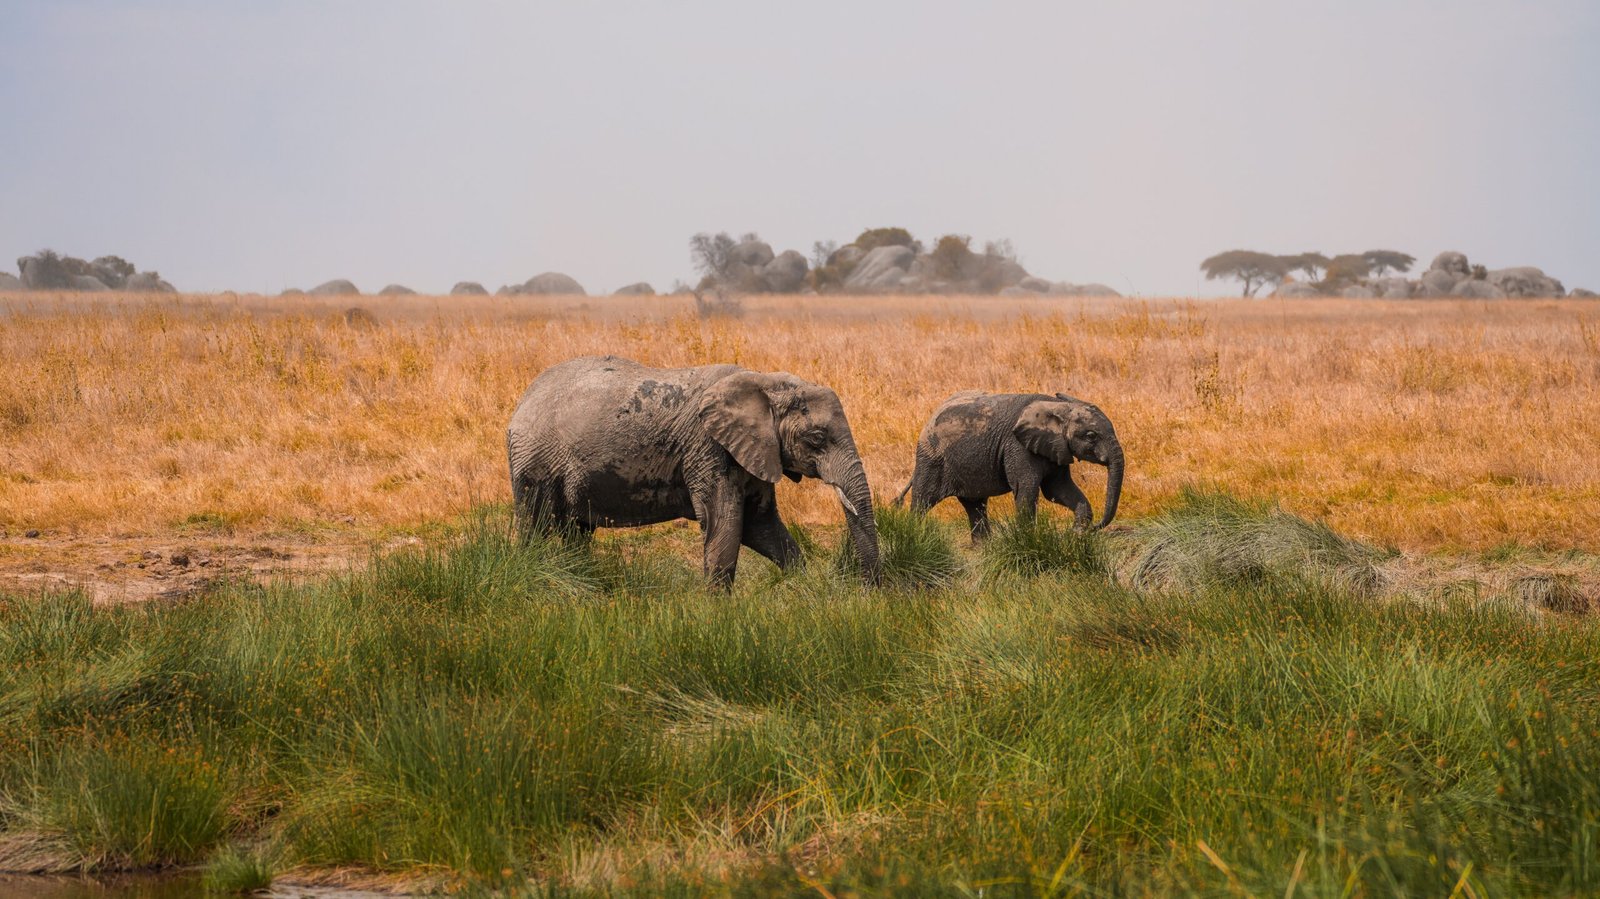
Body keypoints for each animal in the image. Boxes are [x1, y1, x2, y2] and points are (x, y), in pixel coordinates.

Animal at [507, 355, 881, 587]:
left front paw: (802, 586)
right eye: (817, 438)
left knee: (576, 531)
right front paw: (717, 613)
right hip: (534, 461)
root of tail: (522, 401)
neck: (764, 381)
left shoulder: (755, 451)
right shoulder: (708, 448)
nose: (869, 593)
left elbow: (761, 526)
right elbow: (726, 524)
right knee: (537, 525)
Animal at [894, 391, 1123, 539]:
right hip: (930, 458)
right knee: (923, 500)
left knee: (975, 506)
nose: (1095, 528)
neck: (1056, 407)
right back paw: (914, 537)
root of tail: (930, 418)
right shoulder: (1018, 446)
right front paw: (1029, 540)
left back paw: (984, 549)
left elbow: (1058, 490)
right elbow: (1027, 490)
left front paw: (1076, 535)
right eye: (1091, 436)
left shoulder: (1056, 448)